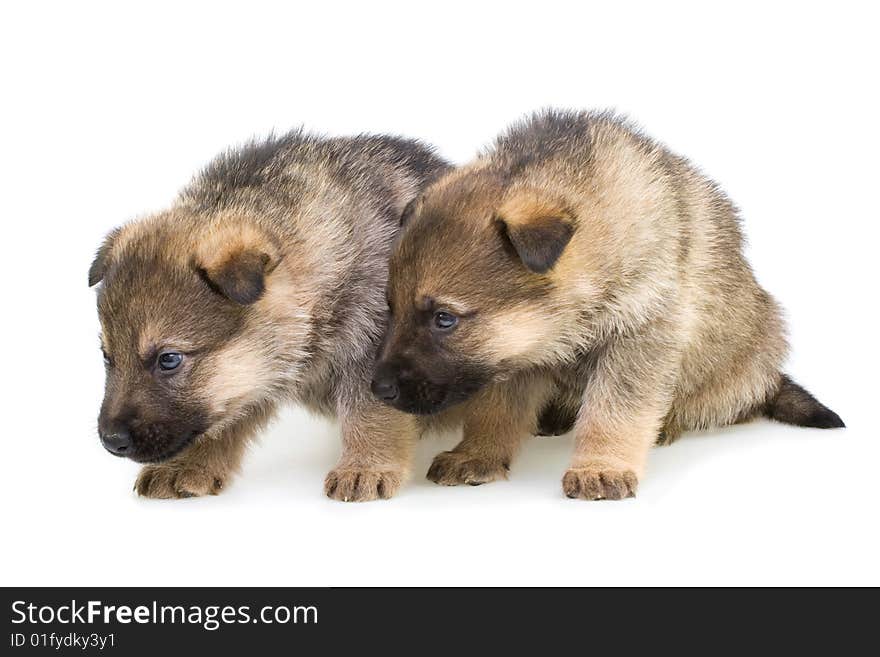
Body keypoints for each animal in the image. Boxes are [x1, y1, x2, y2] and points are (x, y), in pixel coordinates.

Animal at [90, 131, 450, 500]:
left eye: (169, 359)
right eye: (107, 357)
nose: (111, 441)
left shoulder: (371, 351)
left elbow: (369, 413)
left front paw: (365, 467)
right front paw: (189, 465)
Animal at [372, 109, 844, 498]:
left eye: (444, 319)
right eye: (390, 307)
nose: (379, 389)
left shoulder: (640, 337)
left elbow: (616, 409)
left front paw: (601, 466)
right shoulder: (517, 355)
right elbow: (496, 408)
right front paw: (477, 453)